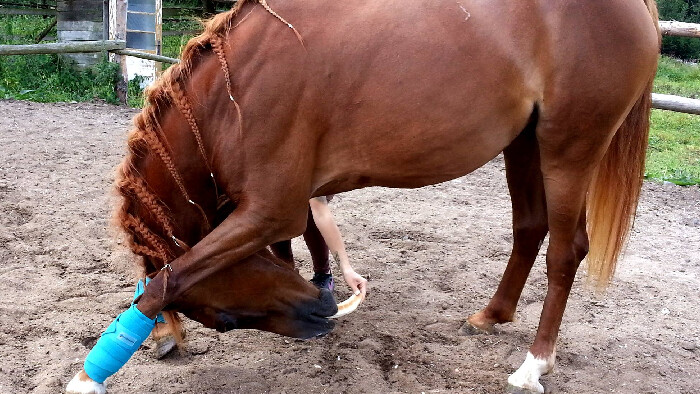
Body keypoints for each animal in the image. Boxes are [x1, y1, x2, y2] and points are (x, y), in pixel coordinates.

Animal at [67, 0, 660, 392]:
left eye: (223, 319)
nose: (321, 313)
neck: (232, 98)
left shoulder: (267, 211)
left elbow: (165, 283)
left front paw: (92, 375)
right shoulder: (286, 206)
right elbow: (301, 245)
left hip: (569, 148)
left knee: (565, 250)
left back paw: (534, 364)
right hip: (525, 144)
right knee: (529, 228)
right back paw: (491, 315)